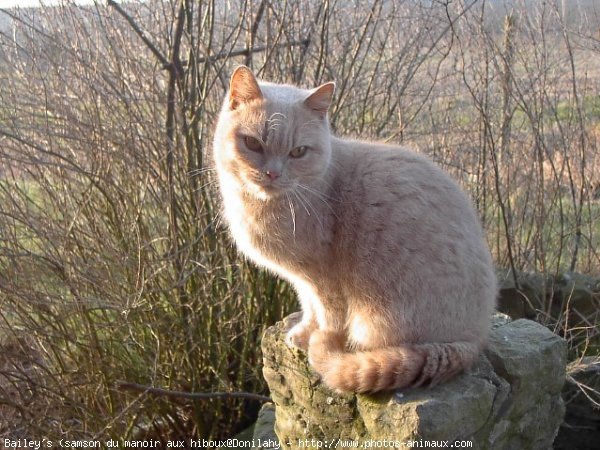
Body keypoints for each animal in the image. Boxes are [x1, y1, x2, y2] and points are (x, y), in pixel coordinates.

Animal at [212, 65, 496, 392]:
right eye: (253, 144)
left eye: (298, 152)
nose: (273, 173)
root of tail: (475, 340)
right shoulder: (303, 280)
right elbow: (309, 305)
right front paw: (302, 330)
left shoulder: (324, 278)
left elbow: (328, 315)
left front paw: (314, 337)